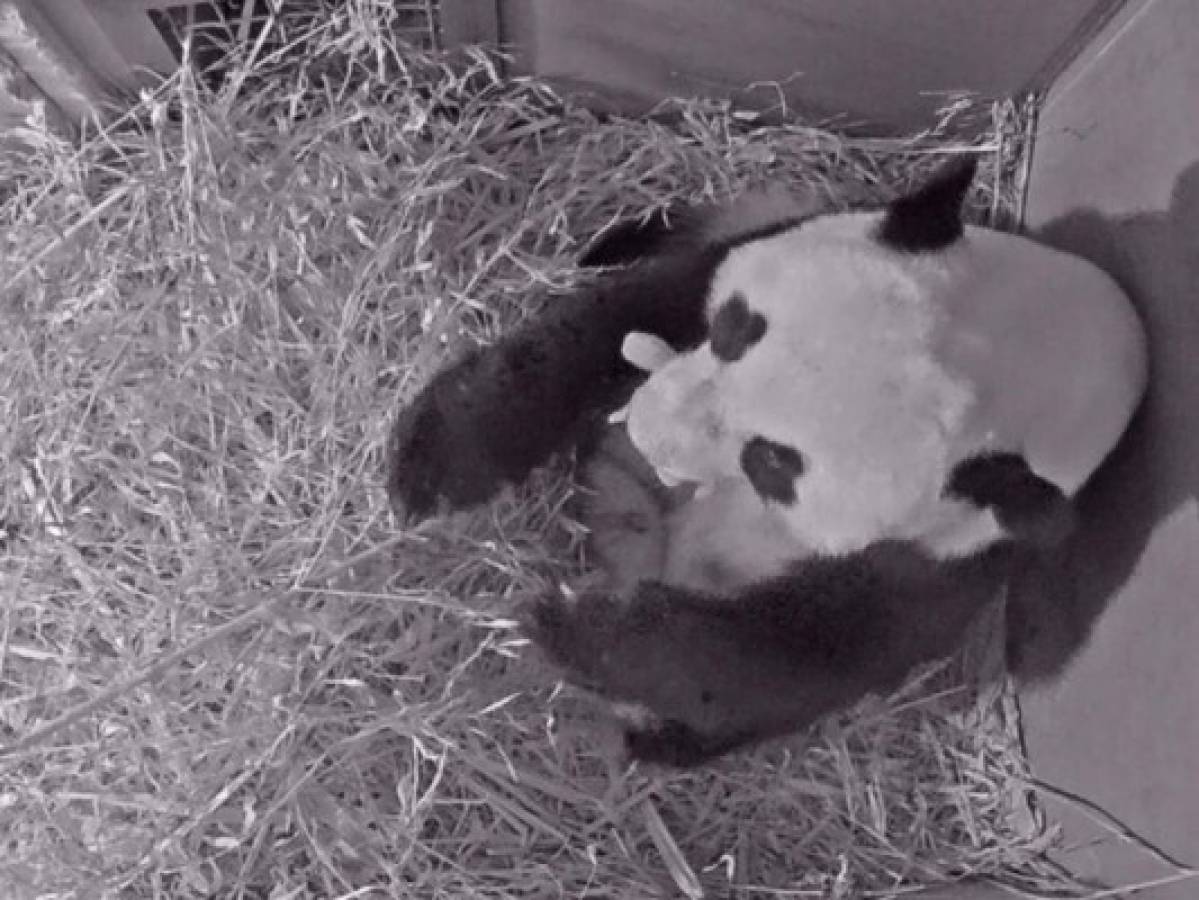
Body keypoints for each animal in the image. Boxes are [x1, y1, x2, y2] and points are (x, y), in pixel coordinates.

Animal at [388, 160, 1146, 766]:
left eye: (772, 464)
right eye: (734, 328)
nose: (644, 426)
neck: (1037, 342)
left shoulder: (954, 553)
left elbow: (798, 652)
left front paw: (573, 622)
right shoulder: (763, 249)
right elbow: (613, 322)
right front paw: (437, 456)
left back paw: (654, 738)